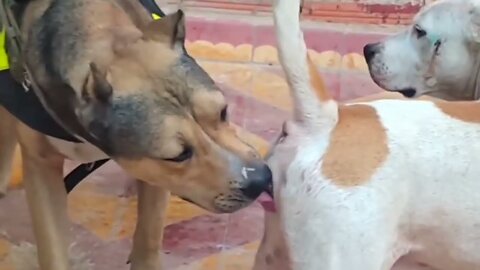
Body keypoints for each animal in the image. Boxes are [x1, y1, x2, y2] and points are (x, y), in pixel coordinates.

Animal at [0, 0, 272, 270]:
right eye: (178, 156)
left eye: (223, 111)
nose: (260, 180)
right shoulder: (41, 165)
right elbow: (52, 248)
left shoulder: (156, 177)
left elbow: (150, 233)